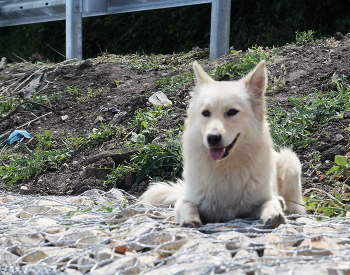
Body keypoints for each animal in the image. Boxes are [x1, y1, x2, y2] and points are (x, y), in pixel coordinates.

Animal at [141, 60, 304, 229]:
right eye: (206, 113)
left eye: (232, 112)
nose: (212, 138)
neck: (225, 167)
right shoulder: (187, 200)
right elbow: (188, 206)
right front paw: (190, 220)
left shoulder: (256, 203)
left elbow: (270, 202)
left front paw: (274, 214)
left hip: (290, 163)